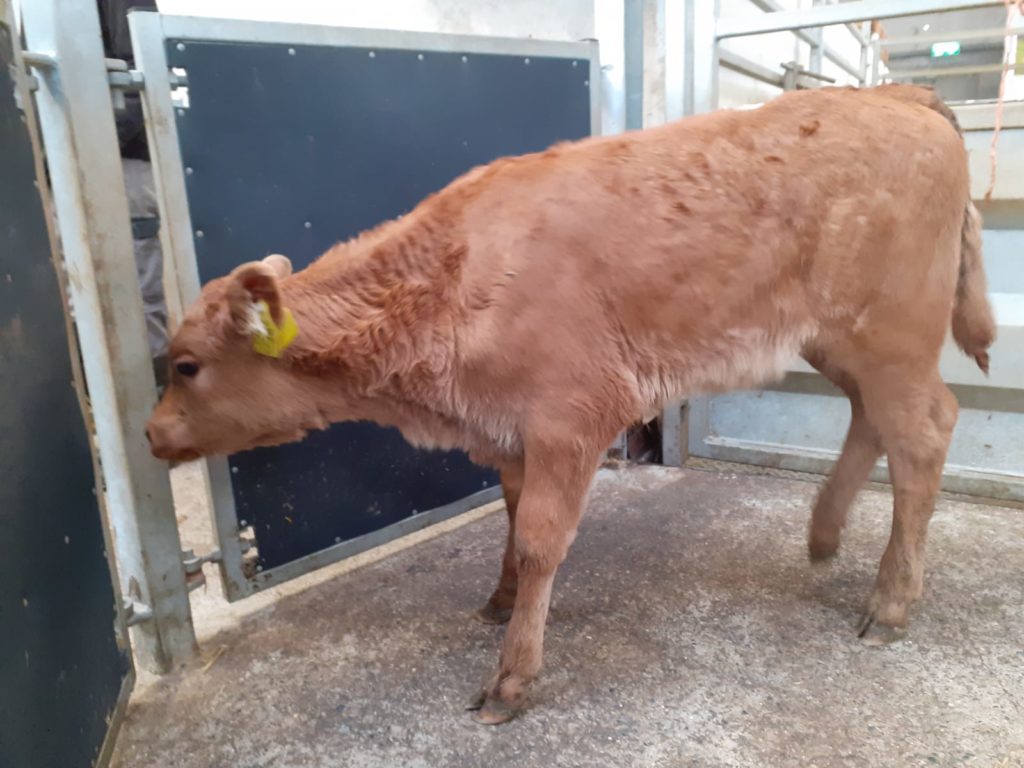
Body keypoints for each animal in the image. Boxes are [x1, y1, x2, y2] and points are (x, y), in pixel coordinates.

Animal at [147, 84, 995, 724]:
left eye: (185, 364)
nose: (151, 435)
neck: (458, 272)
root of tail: (893, 94)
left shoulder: (570, 420)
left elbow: (539, 540)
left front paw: (512, 677)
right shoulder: (510, 435)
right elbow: (512, 521)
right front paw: (498, 601)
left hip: (891, 340)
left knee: (924, 434)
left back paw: (890, 602)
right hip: (843, 344)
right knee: (870, 421)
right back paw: (824, 536)